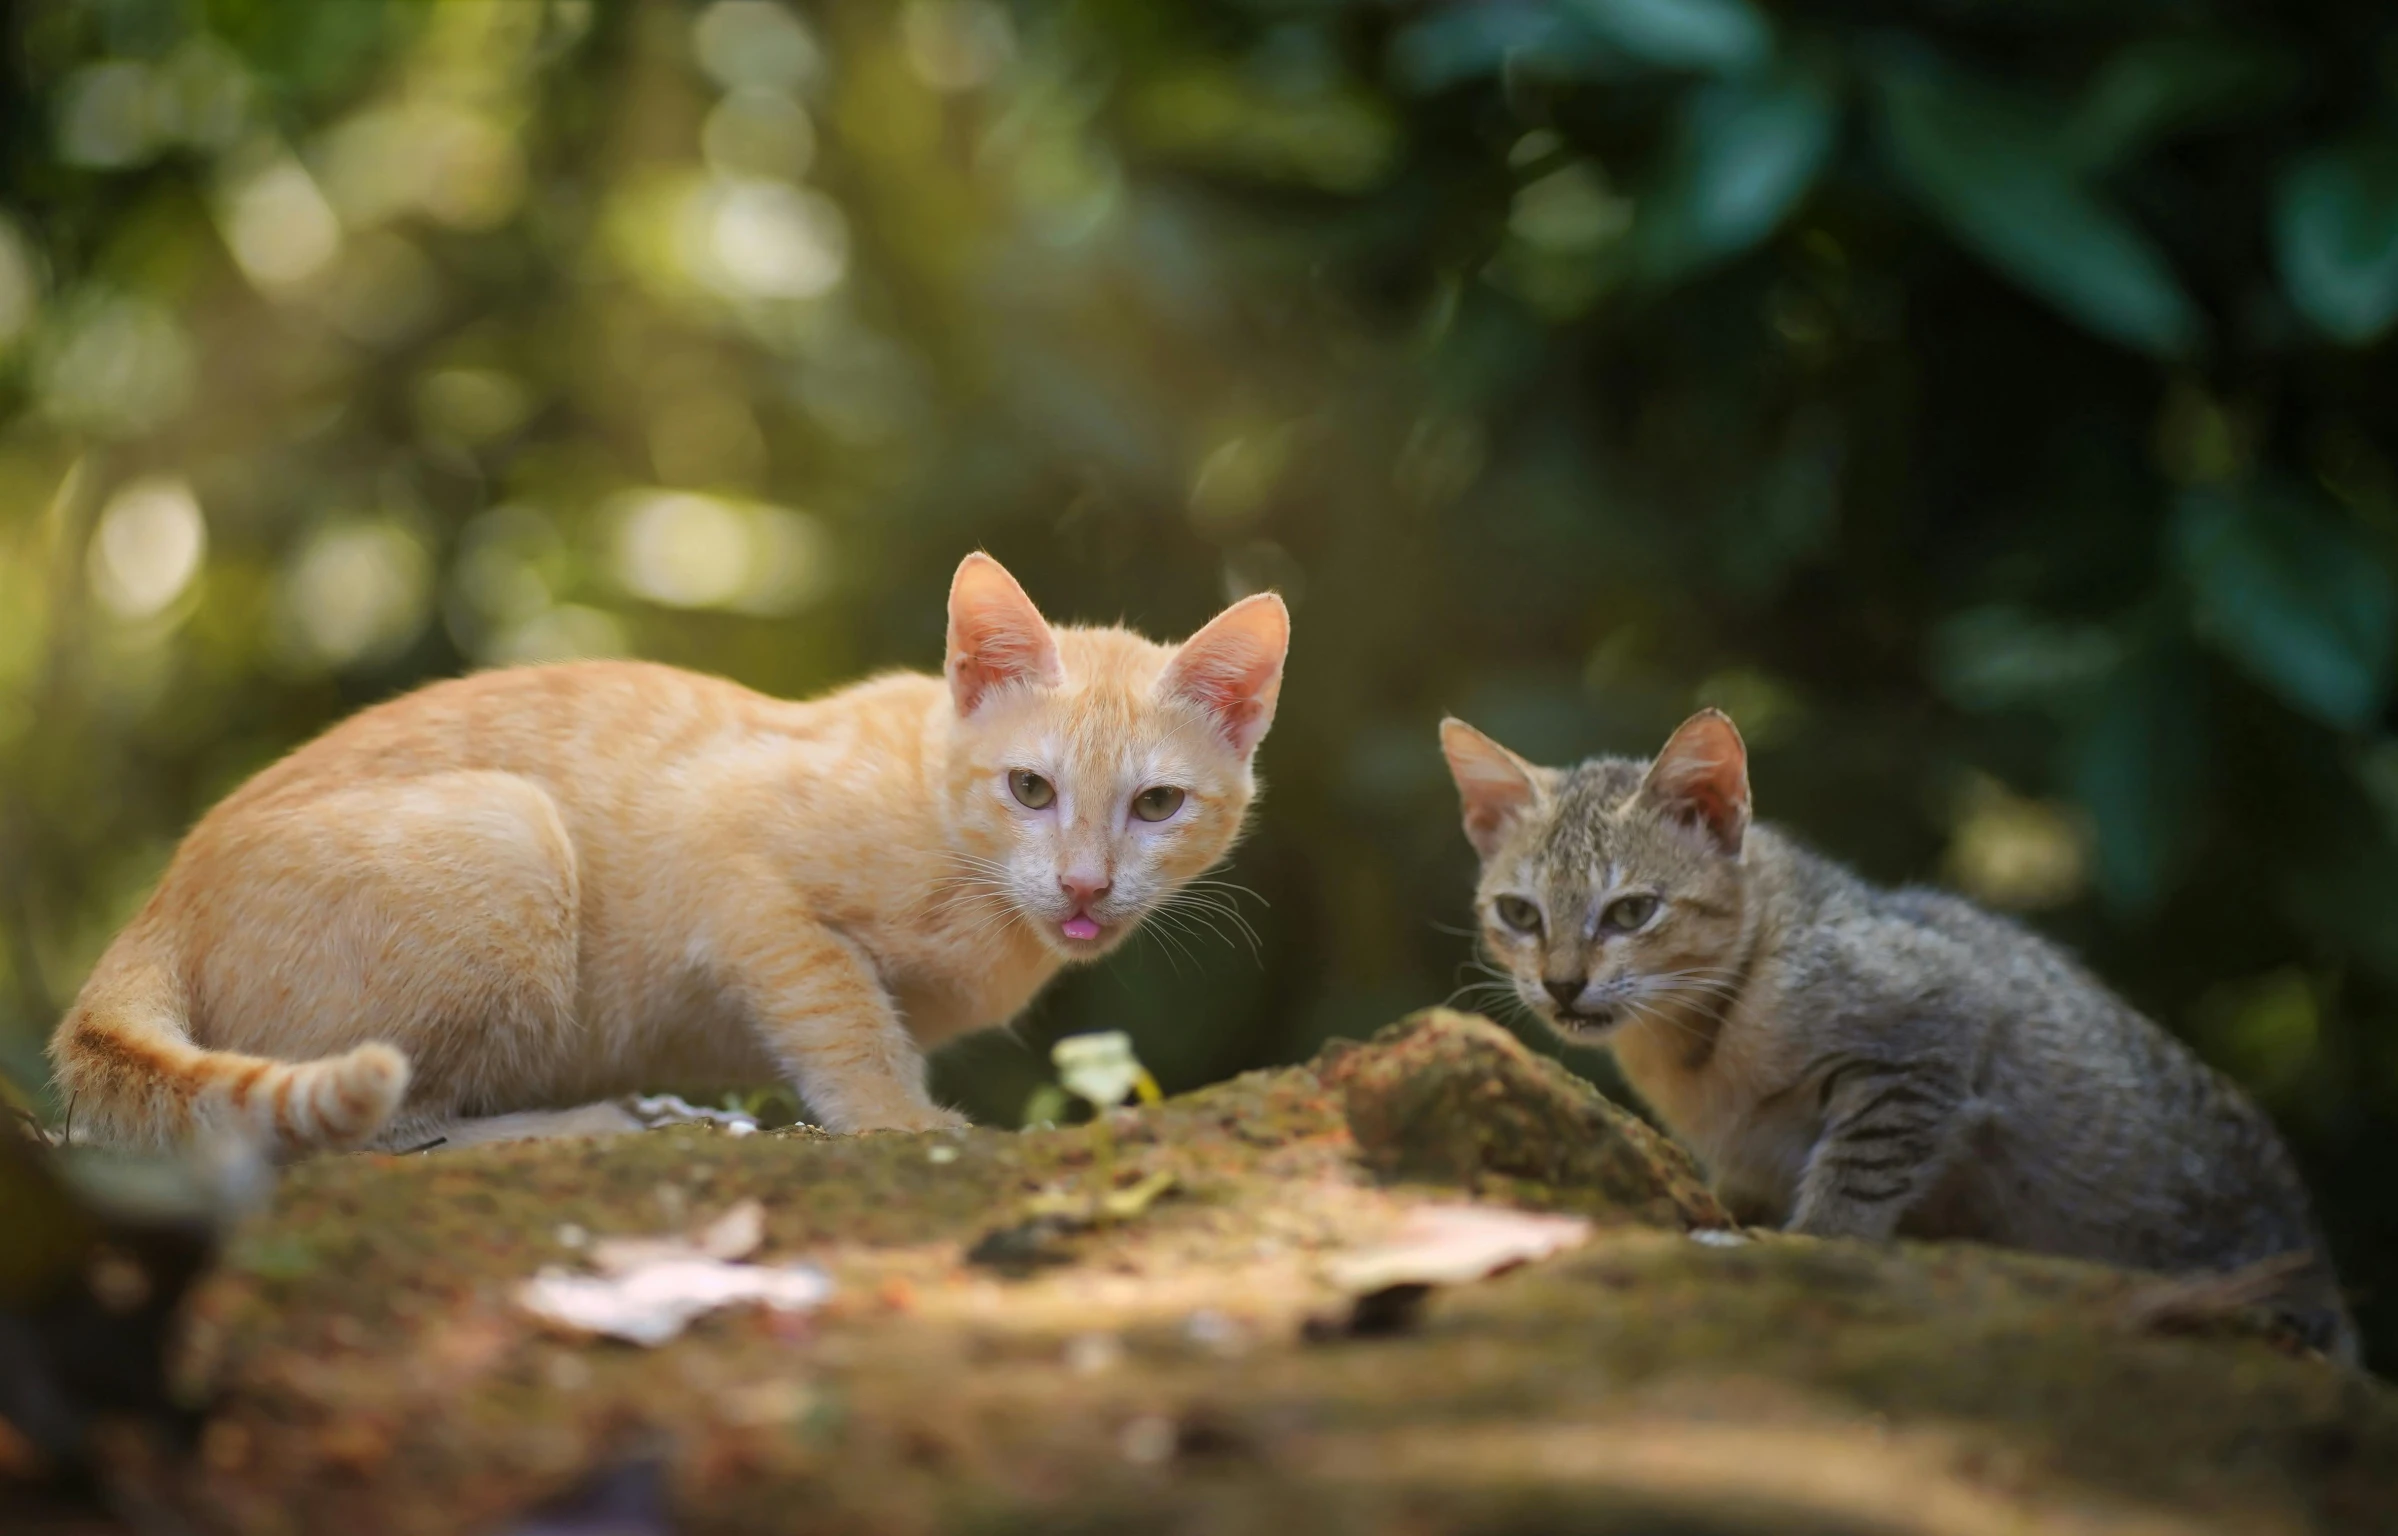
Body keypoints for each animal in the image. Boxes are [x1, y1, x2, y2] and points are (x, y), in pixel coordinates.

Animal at [46, 551, 1285, 1150]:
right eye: (1030, 788)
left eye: (1157, 804)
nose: (1084, 884)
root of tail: (160, 900)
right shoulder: (727, 860)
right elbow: (841, 1010)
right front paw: (895, 1118)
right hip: (512, 834)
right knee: (382, 1126)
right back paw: (585, 1124)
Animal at [1429, 709, 2350, 1361]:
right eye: (1520, 914)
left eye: (1630, 912)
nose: (1561, 984)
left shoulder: (1931, 1036)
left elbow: (1856, 1177)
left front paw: (1811, 1241)